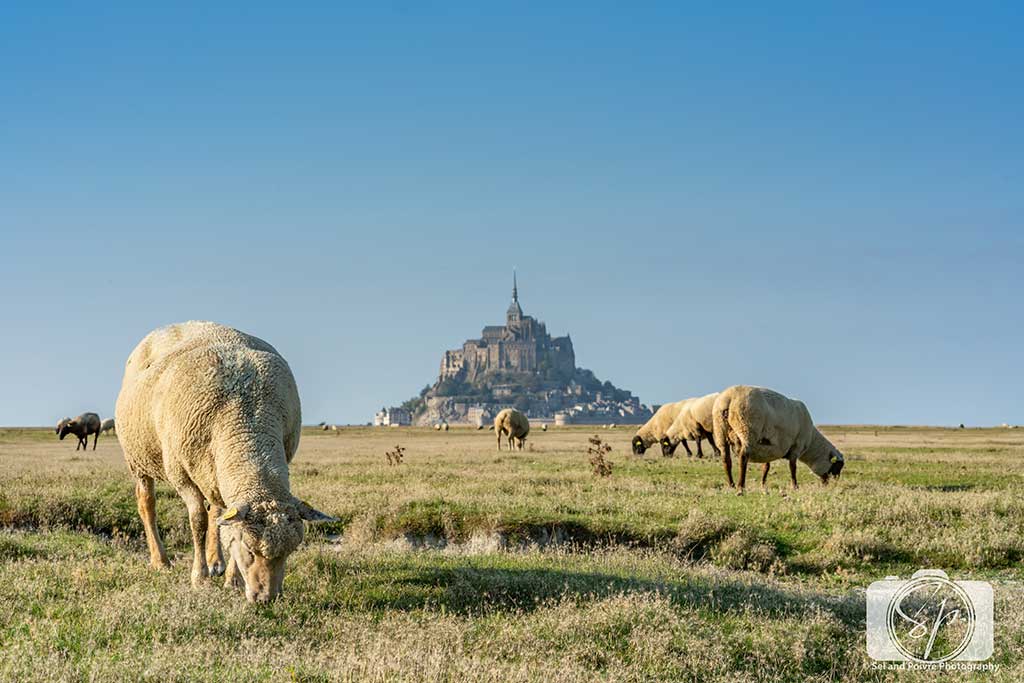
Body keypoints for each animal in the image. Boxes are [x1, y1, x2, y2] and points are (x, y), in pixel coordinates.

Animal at [115, 321, 334, 603]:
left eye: (290, 552)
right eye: (249, 550)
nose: (266, 599)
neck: (246, 420)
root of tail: (167, 327)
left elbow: (224, 524)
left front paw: (232, 579)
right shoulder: (180, 474)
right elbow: (198, 521)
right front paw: (200, 578)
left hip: (211, 470)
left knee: (217, 511)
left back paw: (215, 561)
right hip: (138, 459)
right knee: (147, 504)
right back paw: (161, 560)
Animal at [711, 385, 844, 494]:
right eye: (837, 466)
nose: (833, 484)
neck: (812, 441)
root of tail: (728, 398)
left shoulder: (767, 448)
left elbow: (766, 467)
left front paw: (763, 485)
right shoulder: (796, 446)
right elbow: (793, 467)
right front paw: (795, 486)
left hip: (720, 430)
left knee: (726, 460)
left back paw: (731, 485)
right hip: (747, 428)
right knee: (743, 456)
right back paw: (741, 487)